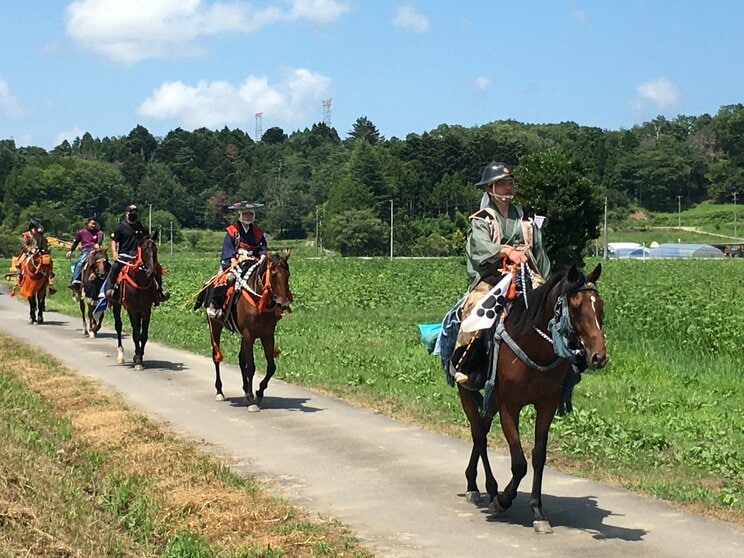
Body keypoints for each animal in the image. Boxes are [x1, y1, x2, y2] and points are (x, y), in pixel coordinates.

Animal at [110, 237, 160, 371]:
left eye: (155, 250)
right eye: (144, 251)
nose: (151, 273)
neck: (140, 281)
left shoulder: (146, 309)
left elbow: (144, 335)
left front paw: (139, 355)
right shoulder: (132, 308)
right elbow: (136, 334)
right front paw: (138, 361)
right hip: (116, 305)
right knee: (118, 326)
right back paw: (121, 355)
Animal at [202, 251, 292, 412]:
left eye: (288, 274)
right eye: (273, 274)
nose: (283, 304)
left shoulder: (267, 335)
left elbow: (271, 367)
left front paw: (259, 392)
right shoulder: (249, 334)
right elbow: (251, 366)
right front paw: (251, 398)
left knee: (240, 358)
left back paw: (244, 389)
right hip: (215, 326)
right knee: (216, 357)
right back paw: (219, 391)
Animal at [457, 263, 608, 533]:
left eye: (599, 305)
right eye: (576, 307)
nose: (599, 357)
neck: (533, 345)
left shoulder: (546, 405)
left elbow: (538, 456)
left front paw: (538, 511)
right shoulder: (509, 406)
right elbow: (519, 463)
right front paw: (503, 500)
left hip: (492, 401)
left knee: (481, 431)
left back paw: (476, 483)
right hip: (467, 391)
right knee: (479, 434)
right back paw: (483, 488)